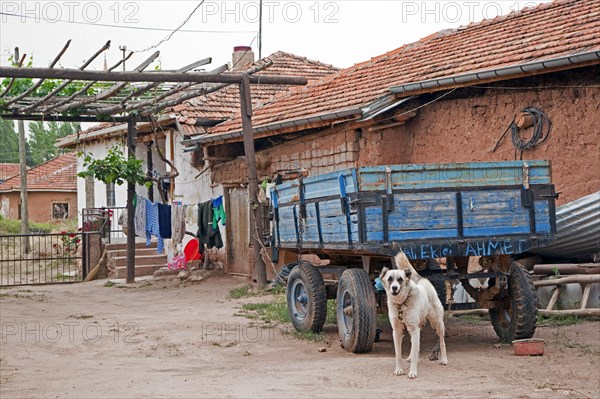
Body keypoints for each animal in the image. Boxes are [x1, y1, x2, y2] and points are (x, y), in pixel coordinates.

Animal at [382, 252, 448, 380]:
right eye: (390, 279)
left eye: (400, 279)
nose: (394, 288)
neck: (401, 304)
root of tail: (421, 279)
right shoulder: (397, 331)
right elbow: (398, 354)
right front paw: (399, 369)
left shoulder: (414, 330)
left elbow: (414, 351)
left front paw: (412, 372)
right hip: (417, 327)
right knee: (415, 346)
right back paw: (410, 357)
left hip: (438, 323)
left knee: (442, 341)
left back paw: (444, 359)